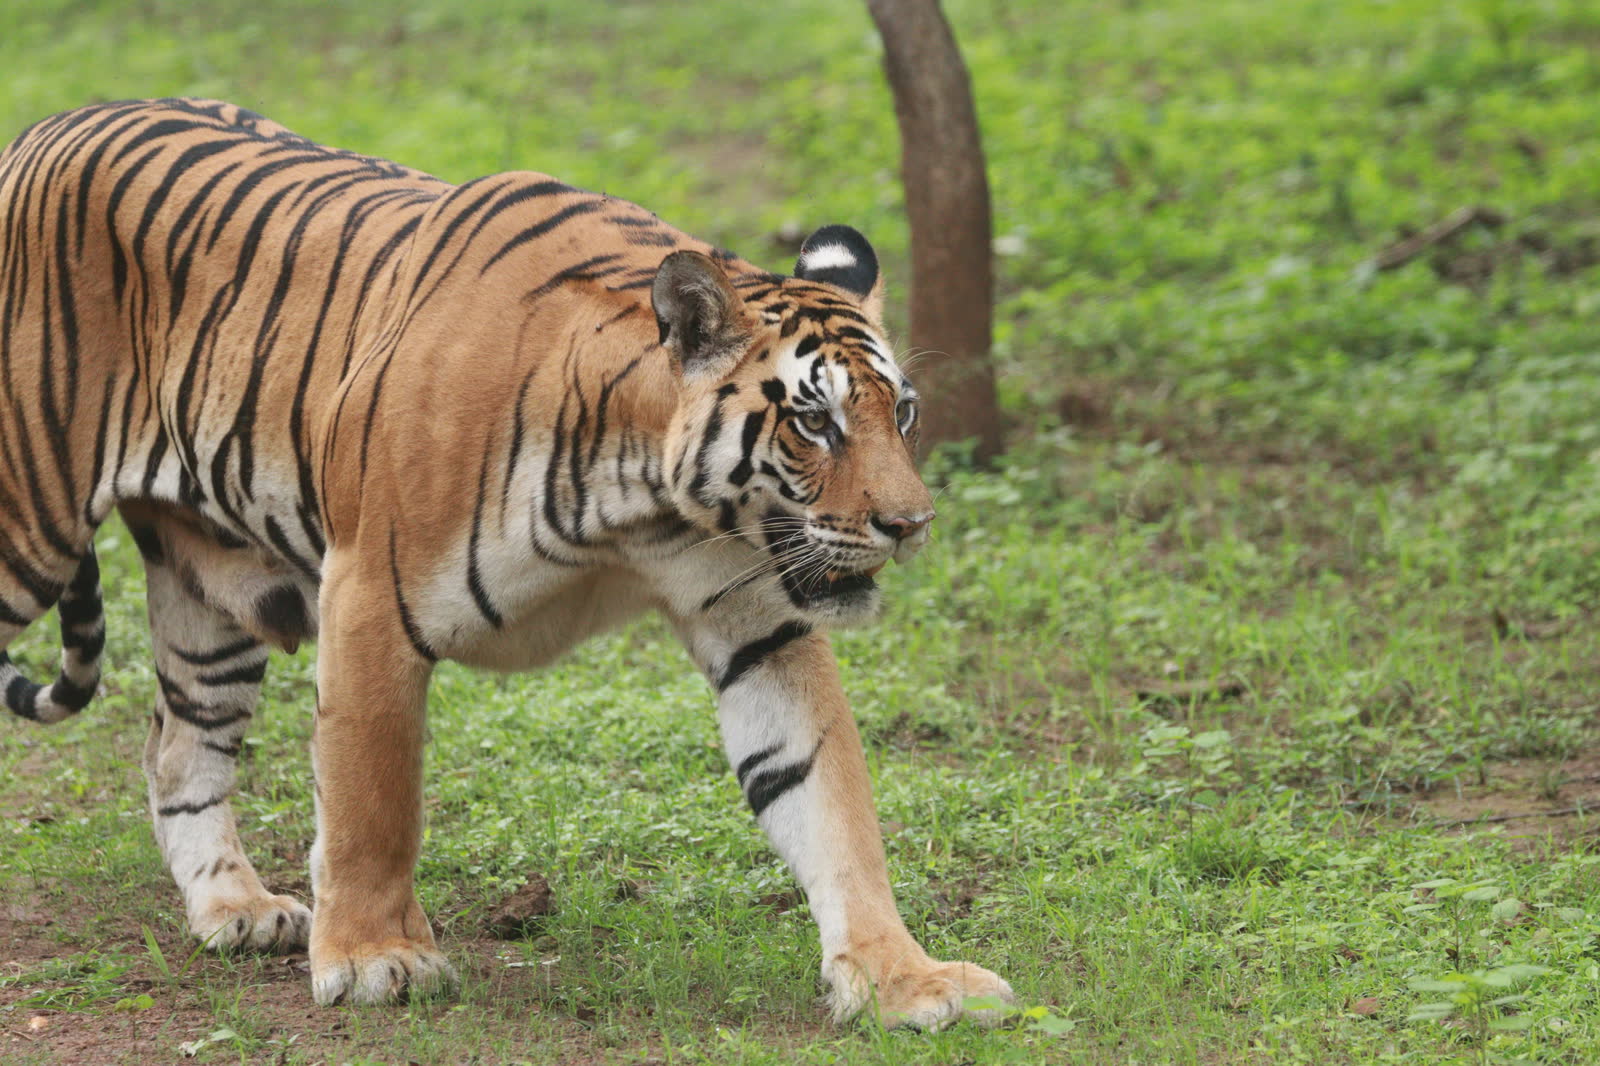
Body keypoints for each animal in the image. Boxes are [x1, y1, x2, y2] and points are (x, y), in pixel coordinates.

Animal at [0, 98, 1012, 1028]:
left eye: (902, 413)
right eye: (814, 422)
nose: (910, 523)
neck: (642, 504)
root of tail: (50, 123)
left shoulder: (762, 627)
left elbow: (829, 798)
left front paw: (902, 977)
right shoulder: (368, 598)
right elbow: (372, 801)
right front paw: (375, 957)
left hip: (213, 596)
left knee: (178, 749)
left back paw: (235, 909)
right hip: (30, 531)